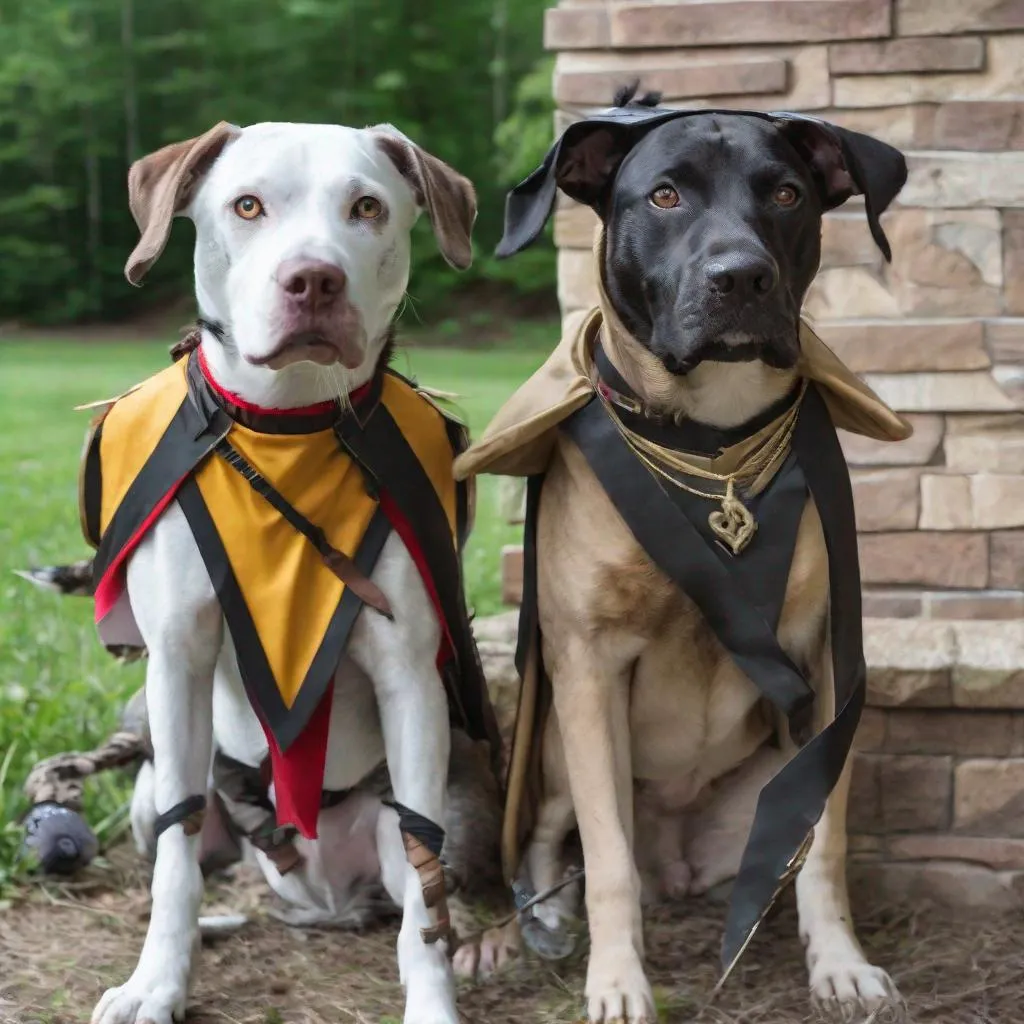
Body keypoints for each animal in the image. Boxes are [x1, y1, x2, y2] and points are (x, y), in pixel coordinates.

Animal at [82, 121, 491, 1024]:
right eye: (247, 205)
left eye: (366, 207)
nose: (314, 279)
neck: (288, 427)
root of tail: (322, 895)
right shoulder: (178, 662)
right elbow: (176, 861)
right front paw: (156, 983)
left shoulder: (410, 677)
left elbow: (425, 884)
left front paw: (434, 998)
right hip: (150, 785)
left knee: (428, 877)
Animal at [456, 90, 913, 1024]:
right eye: (663, 196)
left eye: (786, 194)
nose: (740, 278)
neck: (713, 441)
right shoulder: (587, 670)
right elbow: (604, 863)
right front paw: (617, 983)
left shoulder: (825, 660)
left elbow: (824, 844)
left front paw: (840, 964)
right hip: (554, 755)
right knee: (557, 851)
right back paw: (523, 935)